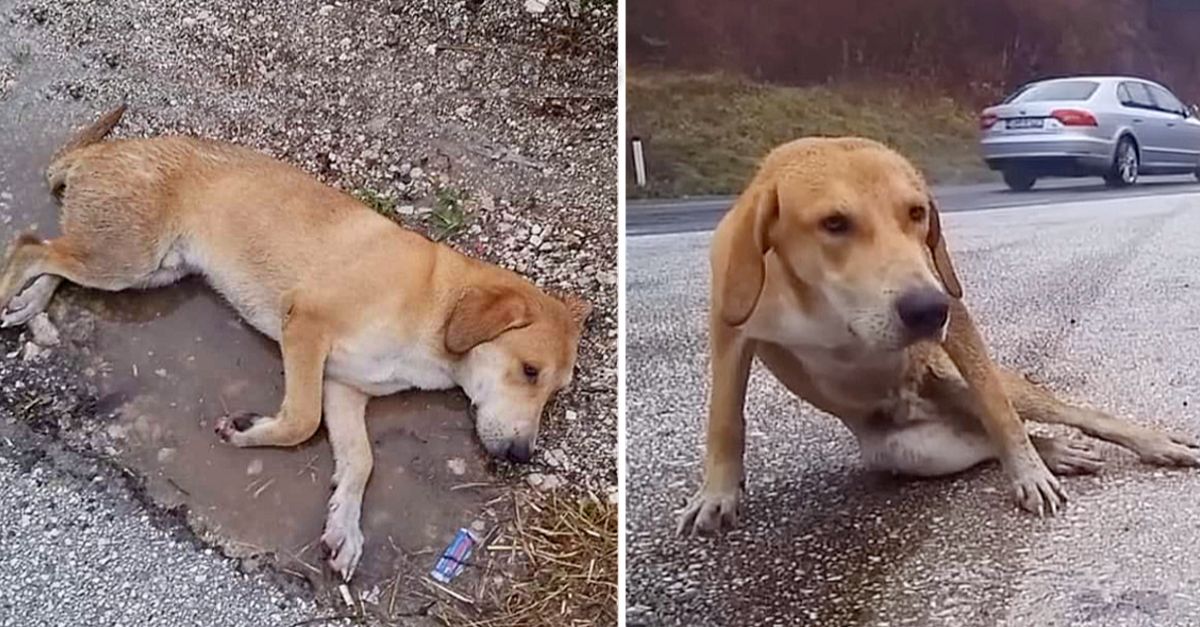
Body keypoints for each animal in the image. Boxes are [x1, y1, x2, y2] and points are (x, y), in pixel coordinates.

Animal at [2, 103, 592, 576]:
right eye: (530, 371)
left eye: (553, 391)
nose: (521, 456)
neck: (434, 304)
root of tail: (100, 151)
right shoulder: (306, 327)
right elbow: (302, 420)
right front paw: (250, 432)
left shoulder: (345, 390)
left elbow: (360, 462)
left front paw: (345, 528)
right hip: (128, 258)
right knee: (29, 246)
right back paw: (10, 292)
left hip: (138, 267)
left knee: (55, 258)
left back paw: (30, 303)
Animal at [681, 136, 1195, 530]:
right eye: (834, 223)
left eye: (916, 213)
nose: (928, 310)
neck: (823, 302)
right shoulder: (730, 330)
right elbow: (724, 417)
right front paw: (718, 494)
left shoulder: (954, 315)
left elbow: (1001, 413)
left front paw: (1028, 472)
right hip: (911, 451)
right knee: (981, 438)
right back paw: (1057, 451)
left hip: (958, 379)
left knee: (1056, 414)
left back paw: (1140, 445)